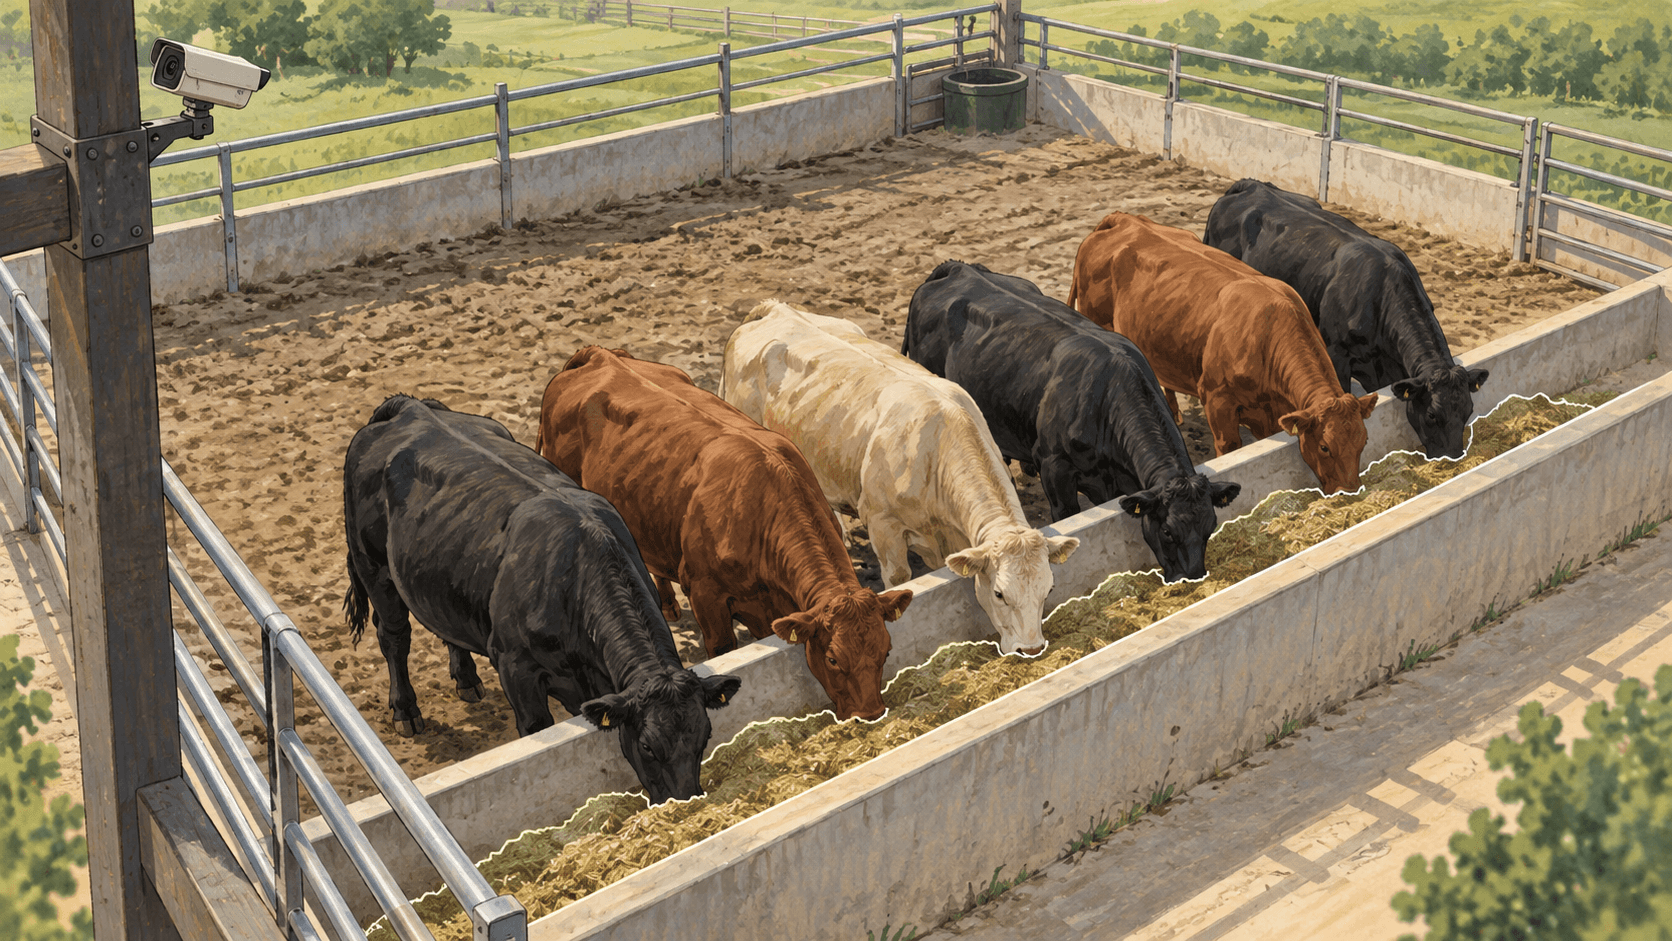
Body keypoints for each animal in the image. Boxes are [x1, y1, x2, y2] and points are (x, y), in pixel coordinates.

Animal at [342, 395, 741, 805]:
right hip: (372, 565)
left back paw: (466, 679)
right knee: (394, 636)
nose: (686, 800)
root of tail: (411, 407)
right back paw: (405, 711)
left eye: (705, 735)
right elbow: (537, 729)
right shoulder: (516, 667)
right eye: (647, 746)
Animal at [536, 347, 913, 722]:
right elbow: (722, 649)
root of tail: (600, 354)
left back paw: (668, 605)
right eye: (833, 658)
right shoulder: (706, 594)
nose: (871, 713)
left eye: (886, 650)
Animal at [720, 300, 1080, 656]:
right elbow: (899, 578)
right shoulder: (883, 525)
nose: (1031, 648)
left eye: (1049, 589)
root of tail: (776, 308)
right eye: (1000, 594)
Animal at [902, 261, 1241, 583]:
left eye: (1211, 526)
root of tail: (959, 267)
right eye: (1169, 531)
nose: (1194, 576)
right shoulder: (1055, 468)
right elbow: (1065, 515)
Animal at [1068, 212, 1379, 495]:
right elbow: (1229, 448)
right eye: (1325, 447)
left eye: (1364, 441)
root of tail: (1123, 219)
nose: (1350, 491)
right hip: (1097, 317)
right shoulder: (1217, 401)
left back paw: (1174, 412)